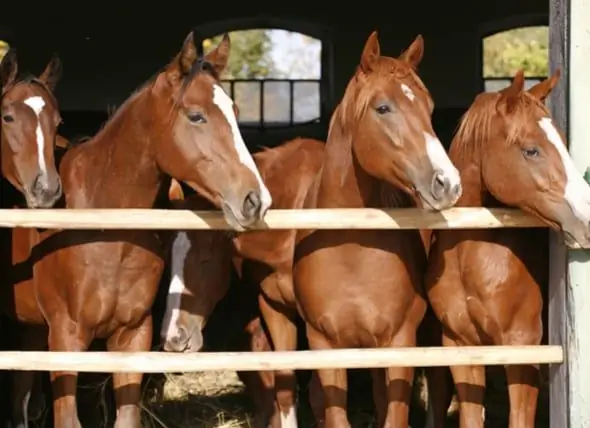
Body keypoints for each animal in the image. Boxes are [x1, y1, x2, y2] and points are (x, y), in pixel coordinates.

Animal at [22, 30, 272, 428]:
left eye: (234, 113)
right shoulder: (65, 338)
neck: (106, 231)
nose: (256, 199)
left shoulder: (133, 336)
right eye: (196, 116)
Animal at [292, 31, 462, 426]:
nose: (447, 183)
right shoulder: (324, 344)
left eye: (429, 107)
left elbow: (395, 414)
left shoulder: (400, 341)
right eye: (383, 108)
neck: (349, 248)